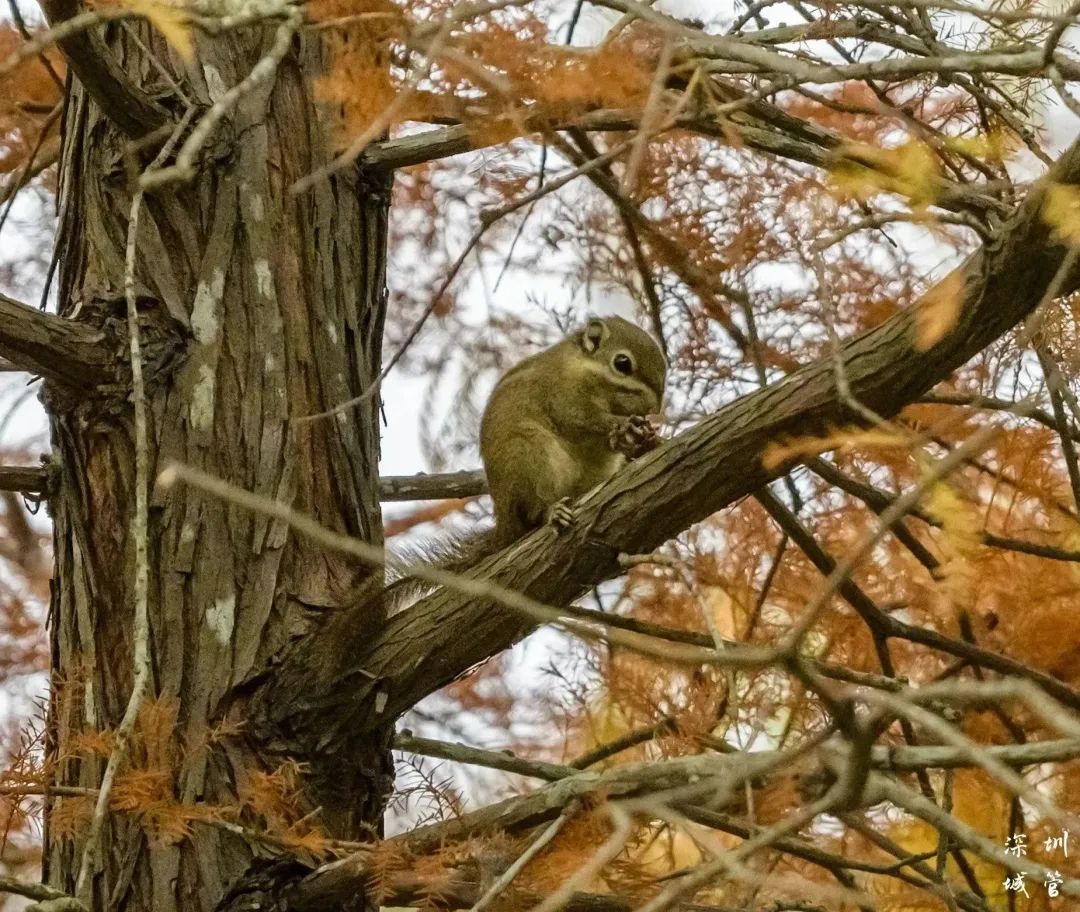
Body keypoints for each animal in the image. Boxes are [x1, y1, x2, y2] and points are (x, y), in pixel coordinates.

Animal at [384, 317, 660, 600]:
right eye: (622, 363)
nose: (655, 408)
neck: (582, 368)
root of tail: (505, 523)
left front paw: (642, 439)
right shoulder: (561, 397)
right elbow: (579, 420)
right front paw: (622, 425)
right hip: (530, 454)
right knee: (535, 511)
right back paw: (553, 512)